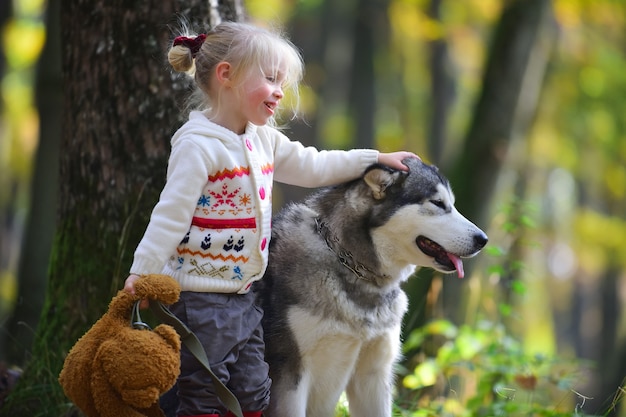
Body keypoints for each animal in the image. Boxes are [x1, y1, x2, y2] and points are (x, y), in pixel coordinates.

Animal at [258, 157, 488, 416]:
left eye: (453, 204)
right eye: (438, 203)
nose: (483, 240)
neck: (354, 268)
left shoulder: (374, 375)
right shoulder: (290, 373)